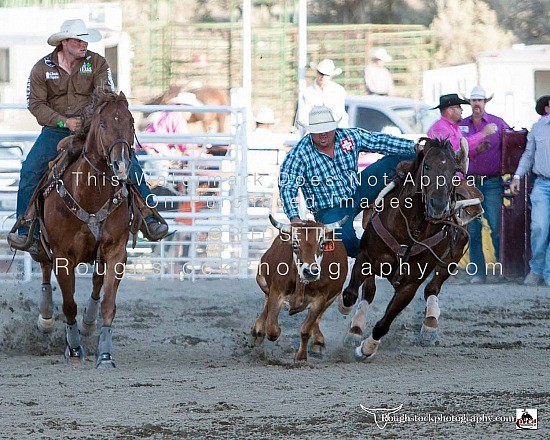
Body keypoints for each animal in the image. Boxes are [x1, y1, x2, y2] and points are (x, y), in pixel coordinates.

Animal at [34, 89, 134, 368]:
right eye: (102, 125)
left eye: (131, 122)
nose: (122, 165)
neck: (91, 192)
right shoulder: (62, 256)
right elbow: (69, 305)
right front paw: (75, 349)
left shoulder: (116, 252)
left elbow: (108, 303)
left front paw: (105, 355)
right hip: (43, 244)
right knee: (44, 269)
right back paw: (46, 318)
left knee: (97, 283)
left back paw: (89, 324)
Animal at [342, 138, 486, 360]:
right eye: (427, 167)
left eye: (454, 171)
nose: (438, 205)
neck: (408, 228)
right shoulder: (365, 256)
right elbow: (351, 293)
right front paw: (348, 318)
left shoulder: (410, 284)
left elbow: (385, 323)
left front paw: (367, 349)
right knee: (368, 291)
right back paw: (355, 330)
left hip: (450, 262)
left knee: (432, 289)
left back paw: (429, 326)